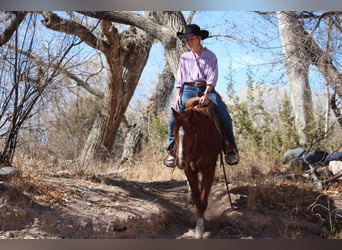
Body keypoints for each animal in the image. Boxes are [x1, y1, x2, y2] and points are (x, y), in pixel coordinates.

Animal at [172, 96, 223, 238]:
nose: (180, 162)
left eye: (190, 133)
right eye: (174, 133)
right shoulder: (189, 169)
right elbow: (196, 196)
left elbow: (203, 199)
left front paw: (200, 229)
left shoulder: (209, 169)